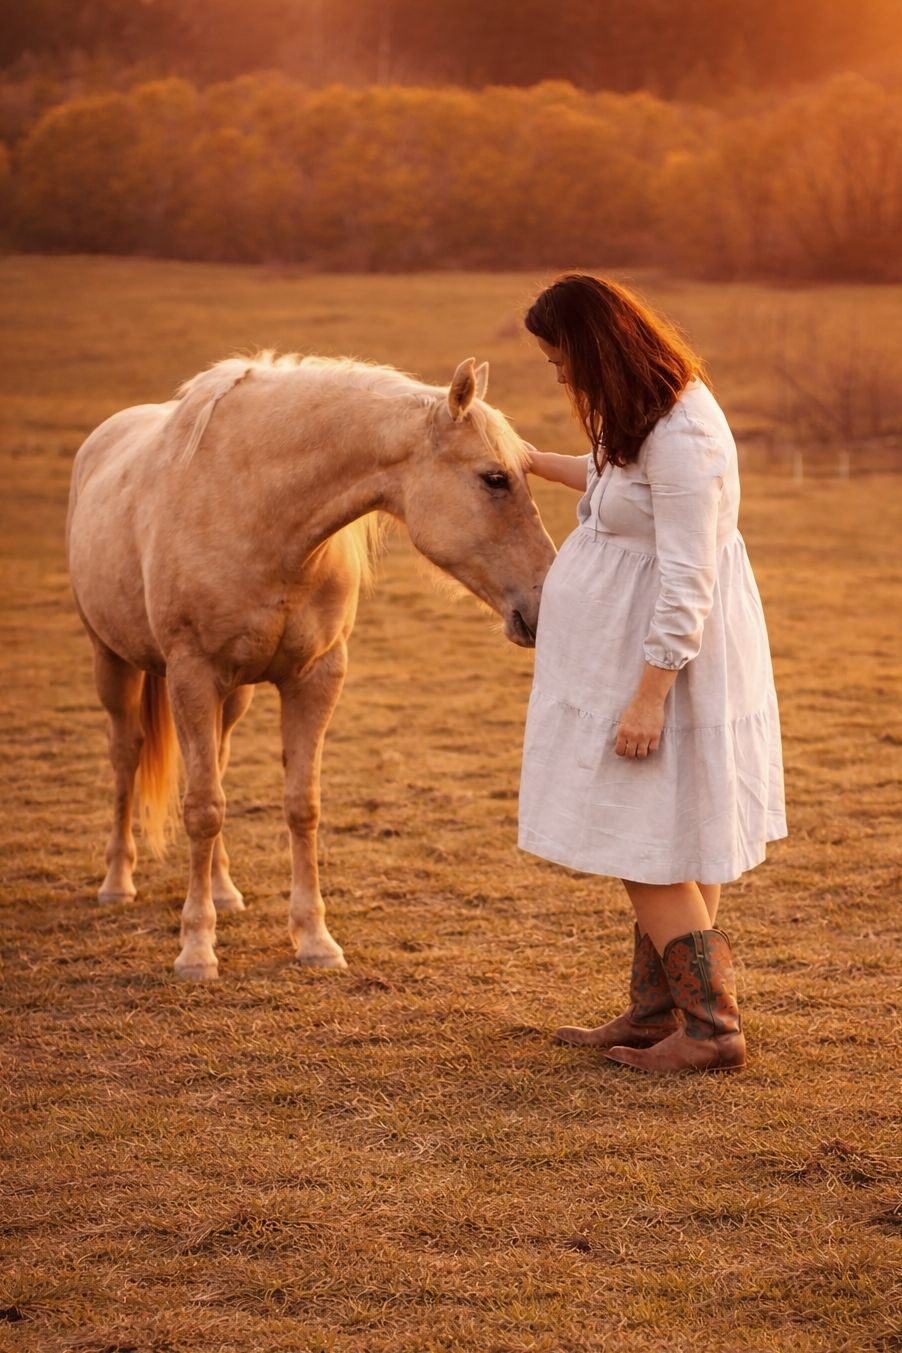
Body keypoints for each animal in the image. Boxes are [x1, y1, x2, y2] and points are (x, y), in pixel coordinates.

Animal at [66, 352, 556, 979]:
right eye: (495, 478)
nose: (546, 600)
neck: (258, 511)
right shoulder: (192, 674)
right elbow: (201, 809)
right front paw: (196, 949)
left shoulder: (316, 676)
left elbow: (302, 805)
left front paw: (315, 939)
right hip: (114, 663)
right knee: (127, 759)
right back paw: (117, 882)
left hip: (234, 696)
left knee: (216, 761)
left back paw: (224, 890)